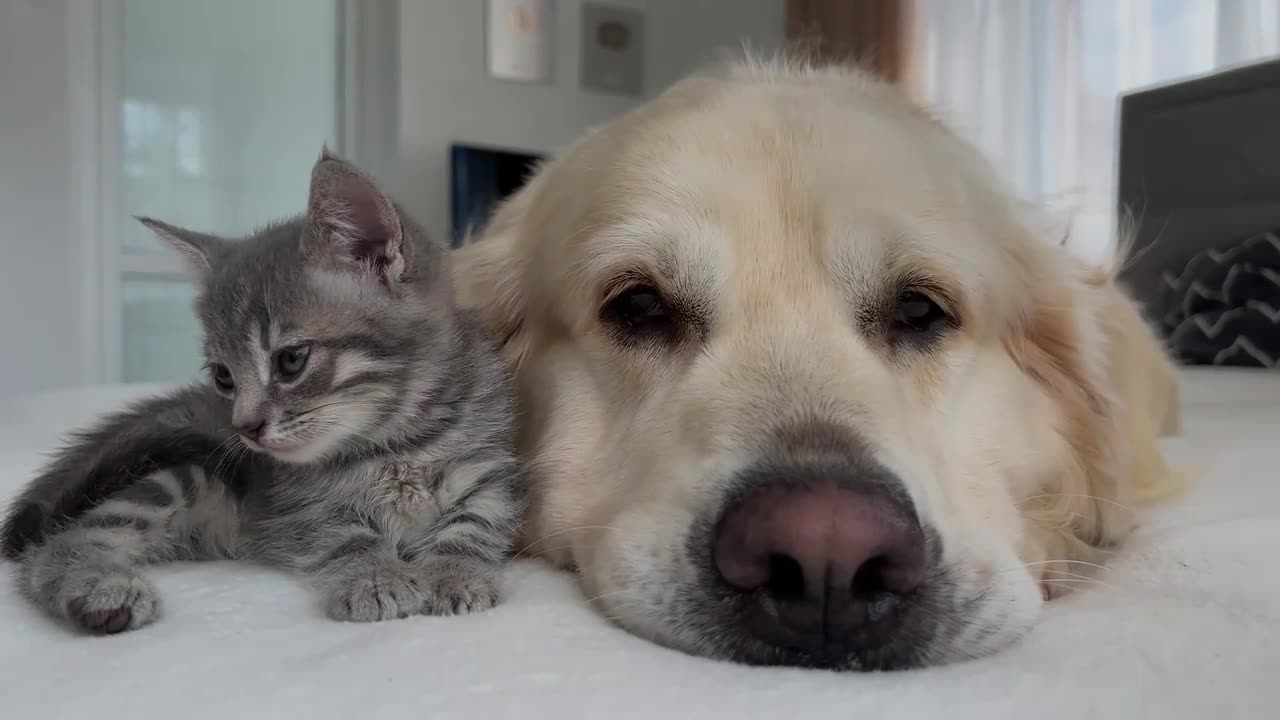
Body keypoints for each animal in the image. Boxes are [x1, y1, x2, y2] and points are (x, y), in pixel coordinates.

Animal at [1, 148, 519, 630]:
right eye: (223, 377)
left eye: (290, 360)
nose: (245, 429)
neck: (393, 444)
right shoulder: (297, 510)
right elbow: (343, 535)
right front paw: (375, 576)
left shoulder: (491, 472)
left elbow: (476, 522)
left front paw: (457, 571)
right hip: (182, 482)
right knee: (64, 542)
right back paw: (97, 589)